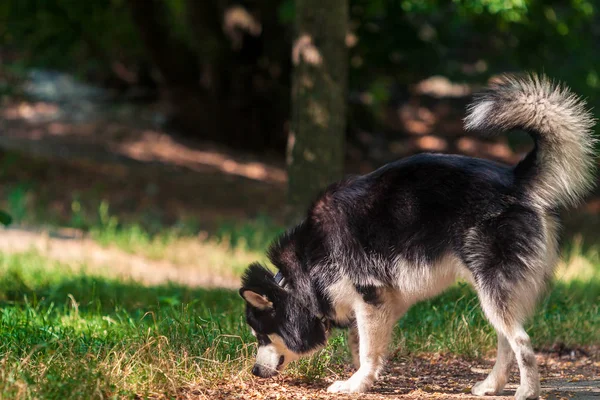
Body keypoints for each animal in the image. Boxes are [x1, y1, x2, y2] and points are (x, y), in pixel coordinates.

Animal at [238, 73, 596, 398]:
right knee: (506, 341)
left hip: (492, 289)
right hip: (493, 294)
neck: (306, 269)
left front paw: (355, 383)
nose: (254, 372)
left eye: (260, 335)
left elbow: (366, 349)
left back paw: (527, 391)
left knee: (520, 342)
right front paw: (366, 378)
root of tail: (514, 179)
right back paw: (491, 385)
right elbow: (361, 345)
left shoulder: (370, 297)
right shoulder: (381, 302)